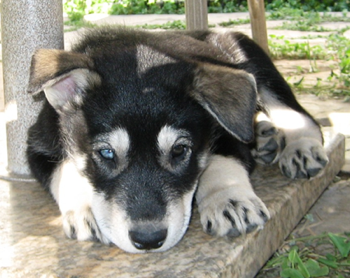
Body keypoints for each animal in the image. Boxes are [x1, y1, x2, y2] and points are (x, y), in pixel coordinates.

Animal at [26, 27, 328, 253]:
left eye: (180, 150)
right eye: (107, 153)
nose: (148, 240)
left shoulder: (226, 133)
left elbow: (221, 162)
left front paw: (229, 199)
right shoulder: (37, 144)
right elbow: (65, 170)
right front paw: (85, 209)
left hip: (253, 60)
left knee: (301, 116)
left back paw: (301, 148)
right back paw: (266, 137)